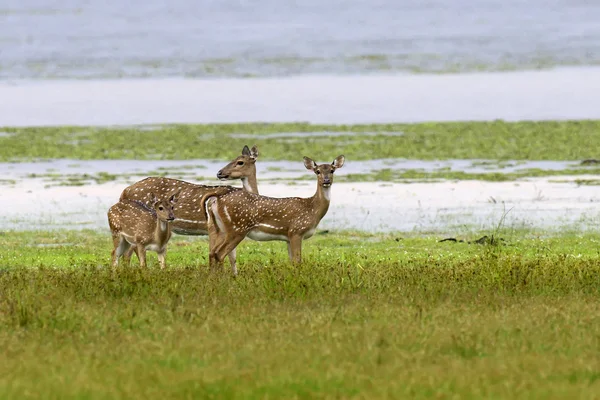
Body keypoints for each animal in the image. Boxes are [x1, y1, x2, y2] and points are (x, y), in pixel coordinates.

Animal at [118, 145, 258, 270]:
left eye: (240, 162)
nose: (219, 173)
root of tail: (124, 192)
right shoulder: (214, 228)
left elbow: (232, 258)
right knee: (129, 252)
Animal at [205, 155, 346, 274]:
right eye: (317, 171)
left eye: (332, 170)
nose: (326, 181)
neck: (312, 208)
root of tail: (217, 200)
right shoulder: (296, 231)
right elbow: (298, 262)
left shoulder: (288, 237)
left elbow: (292, 262)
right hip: (237, 227)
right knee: (219, 253)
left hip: (222, 228)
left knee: (213, 252)